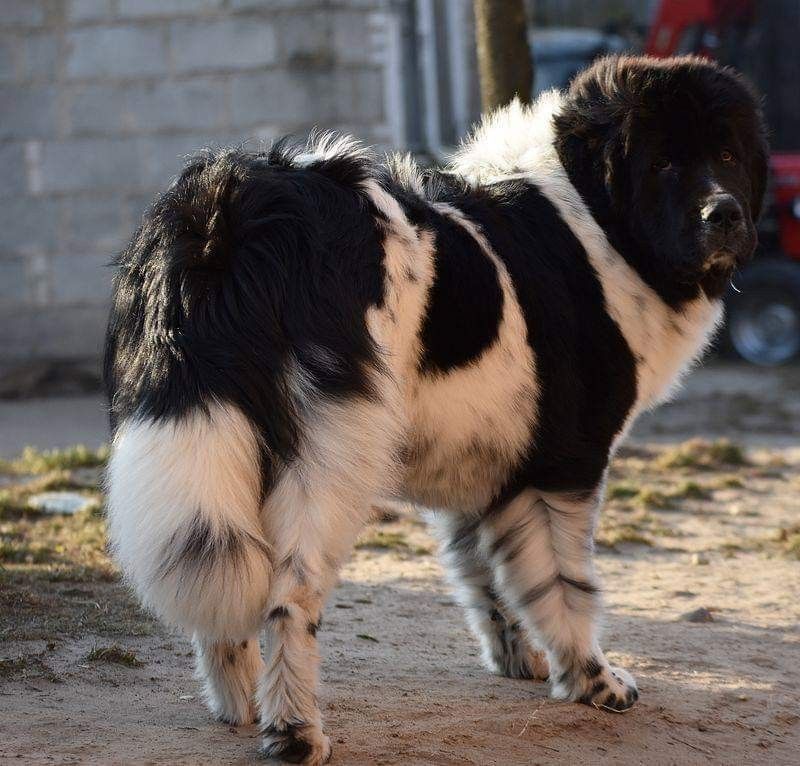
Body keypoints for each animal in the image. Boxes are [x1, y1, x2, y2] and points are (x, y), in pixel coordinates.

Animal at [104, 55, 767, 763]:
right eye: (664, 163)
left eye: (727, 154)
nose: (724, 213)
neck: (596, 221)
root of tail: (231, 208)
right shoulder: (565, 464)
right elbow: (567, 585)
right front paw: (594, 680)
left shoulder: (491, 466)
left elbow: (498, 578)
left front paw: (522, 662)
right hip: (330, 461)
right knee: (289, 598)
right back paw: (294, 732)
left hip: (223, 451)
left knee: (223, 596)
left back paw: (242, 708)